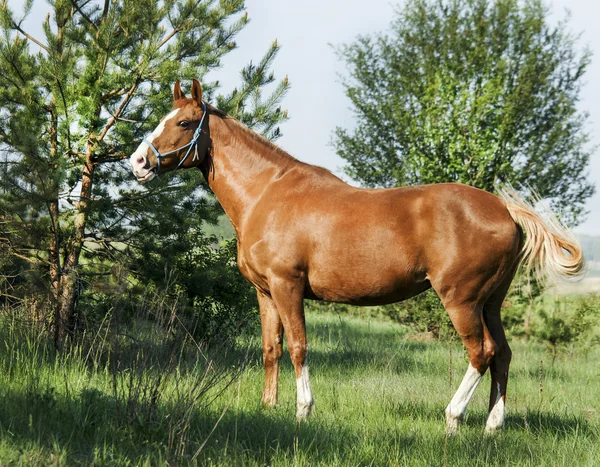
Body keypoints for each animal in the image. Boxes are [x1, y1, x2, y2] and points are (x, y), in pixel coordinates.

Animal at [129, 79, 584, 436]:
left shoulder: (287, 286)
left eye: (184, 122)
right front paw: (269, 407)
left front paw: (303, 411)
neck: (267, 193)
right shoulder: (264, 292)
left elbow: (298, 347)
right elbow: (271, 348)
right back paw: (493, 426)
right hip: (491, 302)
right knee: (503, 354)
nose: (138, 161)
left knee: (481, 353)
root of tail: (504, 209)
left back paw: (453, 419)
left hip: (462, 300)